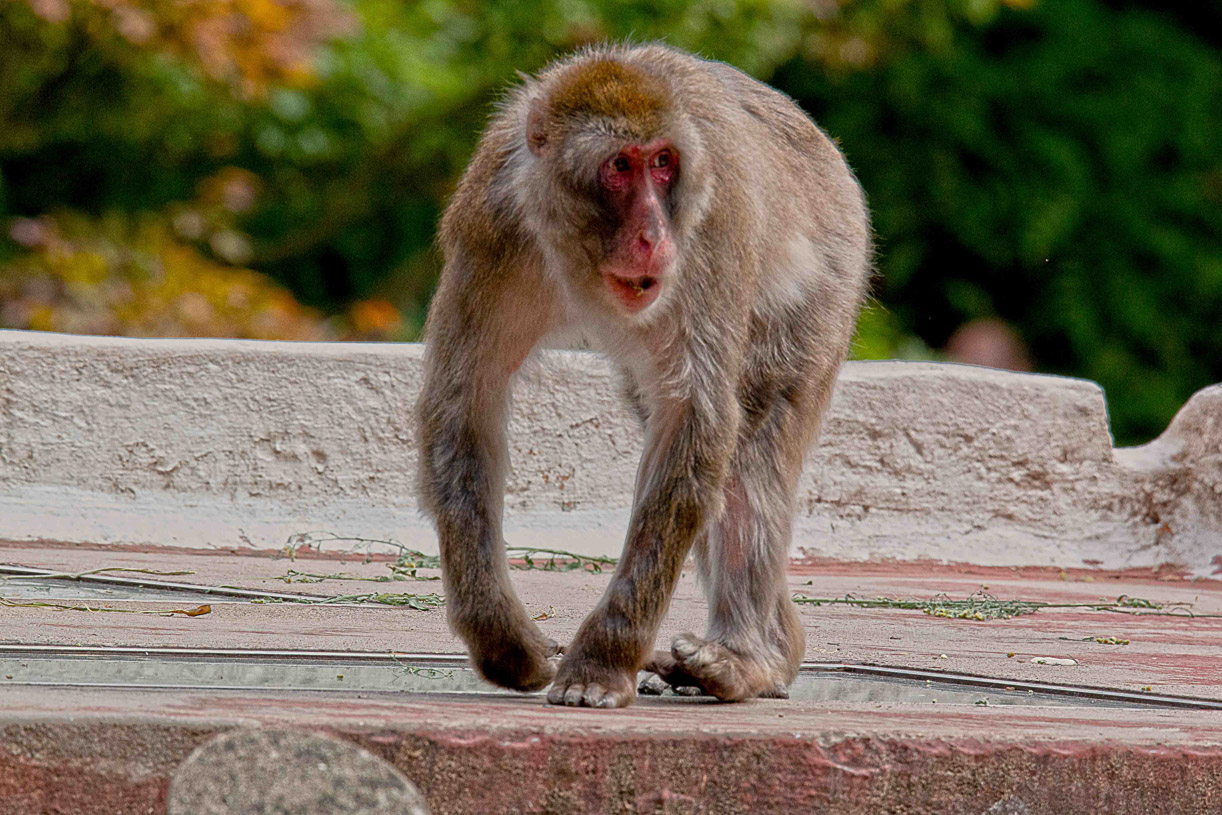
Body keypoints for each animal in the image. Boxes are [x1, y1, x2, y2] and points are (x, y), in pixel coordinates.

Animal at [416, 43, 870, 708]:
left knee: (751, 444)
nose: (654, 235)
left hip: (825, 287)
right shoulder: (491, 230)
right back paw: (774, 647)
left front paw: (602, 663)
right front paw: (503, 639)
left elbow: (693, 419)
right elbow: (464, 404)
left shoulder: (708, 236)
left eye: (662, 163)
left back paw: (747, 660)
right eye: (619, 166)